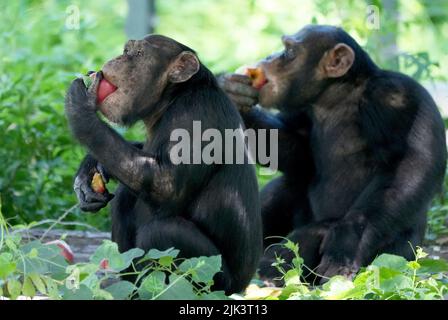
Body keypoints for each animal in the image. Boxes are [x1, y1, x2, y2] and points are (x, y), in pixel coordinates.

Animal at [66, 34, 262, 292]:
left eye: (136, 53)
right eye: (126, 50)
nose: (115, 59)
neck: (171, 99)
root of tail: (244, 286)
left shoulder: (197, 116)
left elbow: (166, 185)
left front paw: (80, 106)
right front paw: (88, 170)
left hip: (217, 281)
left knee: (162, 233)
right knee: (124, 199)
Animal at [220, 23, 448, 282]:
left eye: (289, 52)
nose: (270, 57)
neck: (334, 97)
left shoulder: (397, 97)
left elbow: (410, 163)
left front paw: (347, 241)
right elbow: (299, 155)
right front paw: (234, 95)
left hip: (399, 255)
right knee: (288, 185)